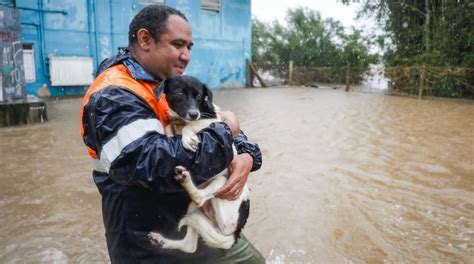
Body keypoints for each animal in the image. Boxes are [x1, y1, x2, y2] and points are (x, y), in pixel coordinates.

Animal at [148, 75, 252, 253]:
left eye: (199, 97)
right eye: (180, 93)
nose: (194, 114)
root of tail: (235, 233)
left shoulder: (211, 124)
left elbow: (189, 127)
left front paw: (188, 136)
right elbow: (169, 127)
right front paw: (170, 133)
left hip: (222, 183)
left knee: (199, 198)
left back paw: (185, 179)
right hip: (194, 209)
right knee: (189, 246)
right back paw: (160, 241)